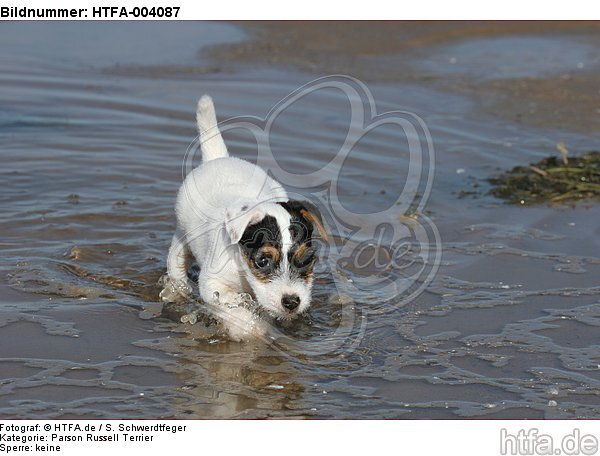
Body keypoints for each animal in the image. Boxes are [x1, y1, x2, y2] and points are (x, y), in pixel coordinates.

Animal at [162, 94, 326, 340]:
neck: (244, 270)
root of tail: (220, 158)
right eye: (263, 261)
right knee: (177, 268)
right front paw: (251, 330)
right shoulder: (214, 285)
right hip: (181, 244)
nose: (291, 302)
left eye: (307, 260)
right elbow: (237, 311)